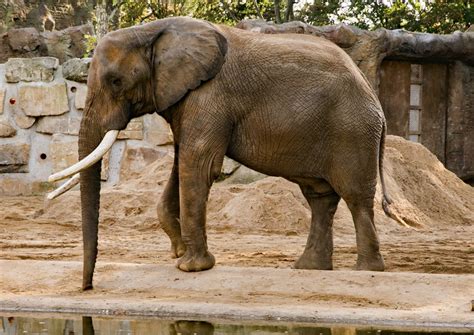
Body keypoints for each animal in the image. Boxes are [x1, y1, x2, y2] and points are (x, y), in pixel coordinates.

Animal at [49, 15, 404, 290]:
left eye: (115, 81)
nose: (87, 287)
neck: (154, 30)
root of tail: (374, 98)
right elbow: (181, 160)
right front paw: (179, 251)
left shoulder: (211, 96)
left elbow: (198, 164)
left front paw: (190, 267)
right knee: (320, 198)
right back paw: (308, 268)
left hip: (353, 132)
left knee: (355, 198)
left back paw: (366, 271)